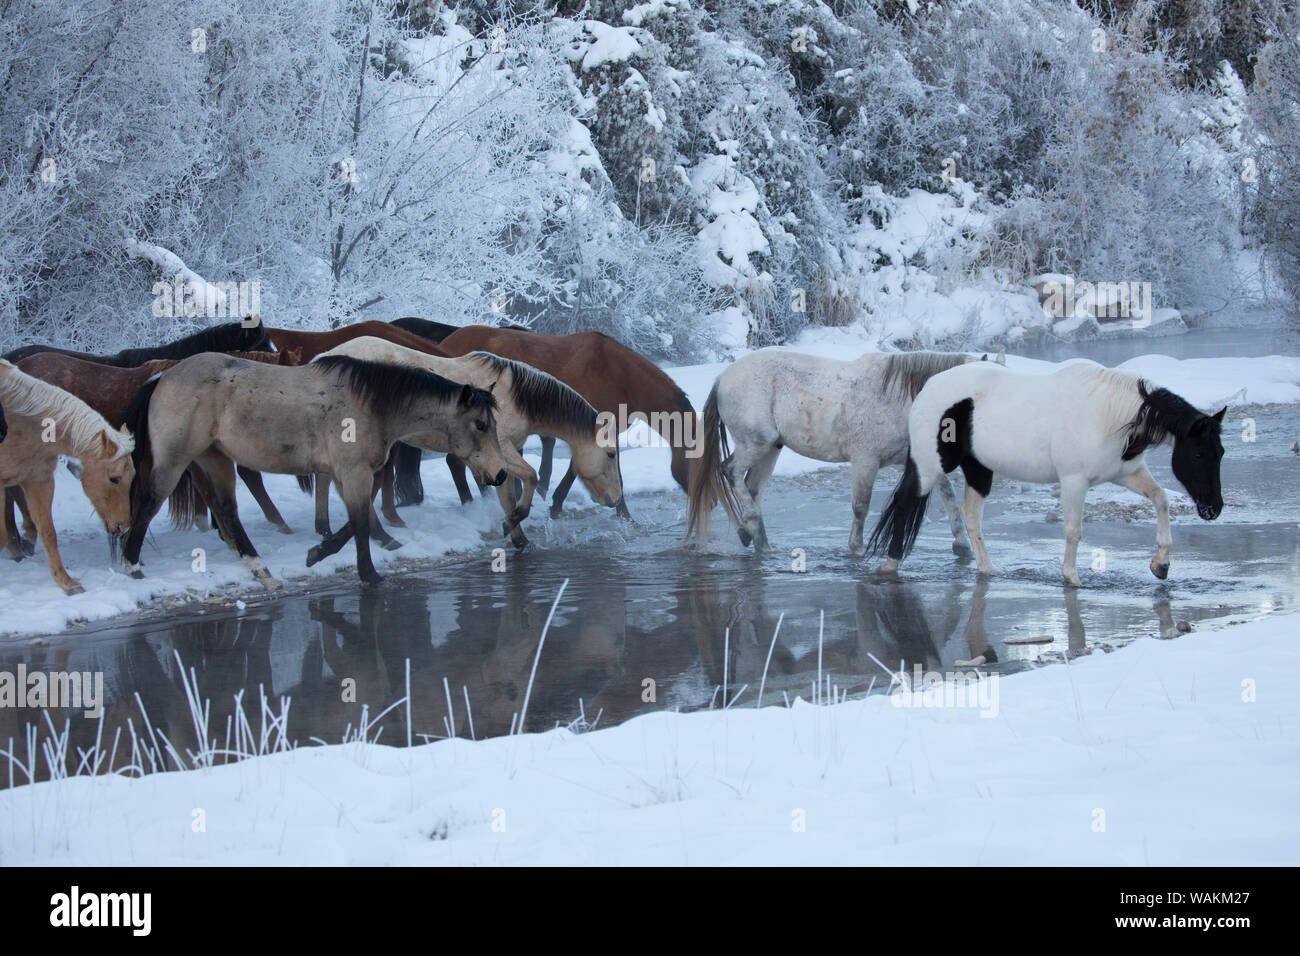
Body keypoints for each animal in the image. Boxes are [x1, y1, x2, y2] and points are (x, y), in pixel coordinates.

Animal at [120, 353, 510, 586]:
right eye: (480, 425)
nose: (500, 474)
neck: (371, 405)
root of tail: (161, 377)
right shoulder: (353, 472)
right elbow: (359, 522)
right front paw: (369, 574)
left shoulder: (349, 473)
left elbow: (355, 522)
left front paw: (318, 553)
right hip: (175, 460)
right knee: (149, 503)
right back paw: (132, 565)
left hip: (214, 459)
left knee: (226, 509)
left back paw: (260, 568)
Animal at [313, 337, 624, 548]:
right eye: (611, 455)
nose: (615, 499)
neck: (516, 397)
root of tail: (324, 358)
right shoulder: (502, 448)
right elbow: (531, 478)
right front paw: (514, 521)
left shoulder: (499, 458)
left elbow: (507, 496)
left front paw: (517, 537)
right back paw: (376, 535)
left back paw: (331, 529)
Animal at [685, 349, 979, 555]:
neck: (900, 399)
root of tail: (722, 378)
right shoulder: (865, 461)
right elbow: (860, 506)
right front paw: (857, 549)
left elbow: (948, 494)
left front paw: (962, 543)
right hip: (756, 443)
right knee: (731, 471)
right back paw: (752, 526)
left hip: (770, 449)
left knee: (752, 488)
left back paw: (757, 538)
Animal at [867, 360, 1226, 586]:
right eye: (1197, 453)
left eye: (1220, 452)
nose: (1213, 508)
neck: (1109, 415)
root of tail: (928, 388)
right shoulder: (1074, 481)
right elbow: (1073, 531)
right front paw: (1072, 577)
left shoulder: (1126, 474)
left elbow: (1160, 499)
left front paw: (1160, 564)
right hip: (929, 466)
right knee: (905, 503)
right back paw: (890, 564)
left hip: (980, 470)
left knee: (971, 516)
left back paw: (988, 569)